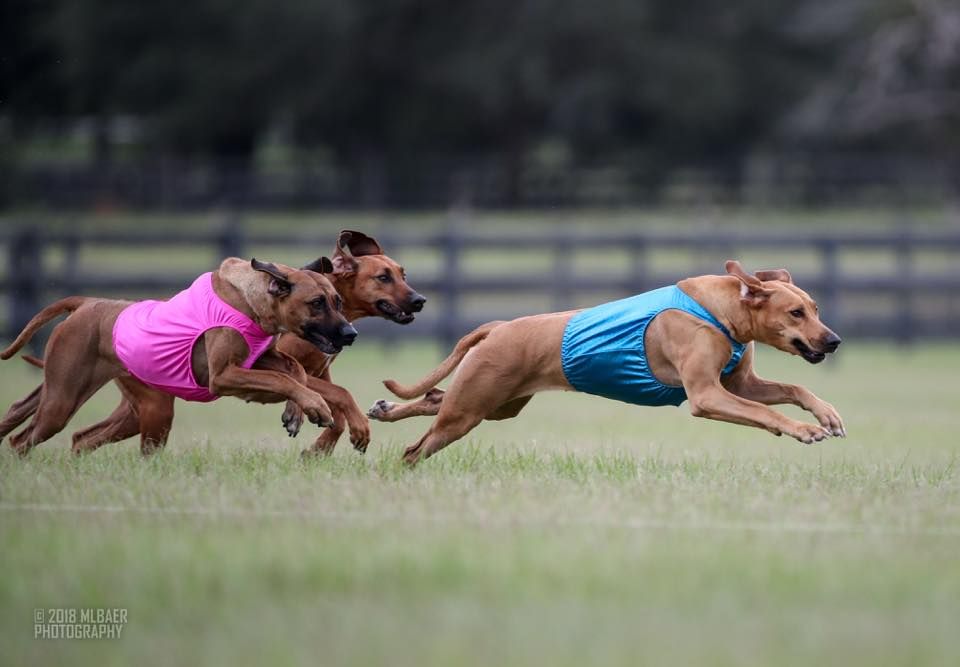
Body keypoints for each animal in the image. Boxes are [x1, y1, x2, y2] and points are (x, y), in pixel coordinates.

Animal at [372, 260, 844, 464]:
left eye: (816, 308)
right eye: (795, 313)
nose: (834, 340)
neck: (722, 311)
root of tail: (500, 326)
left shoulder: (739, 385)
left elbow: (793, 389)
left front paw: (826, 414)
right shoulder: (707, 395)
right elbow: (765, 412)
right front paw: (803, 430)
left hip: (496, 404)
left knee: (435, 398)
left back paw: (386, 409)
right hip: (472, 407)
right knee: (418, 446)